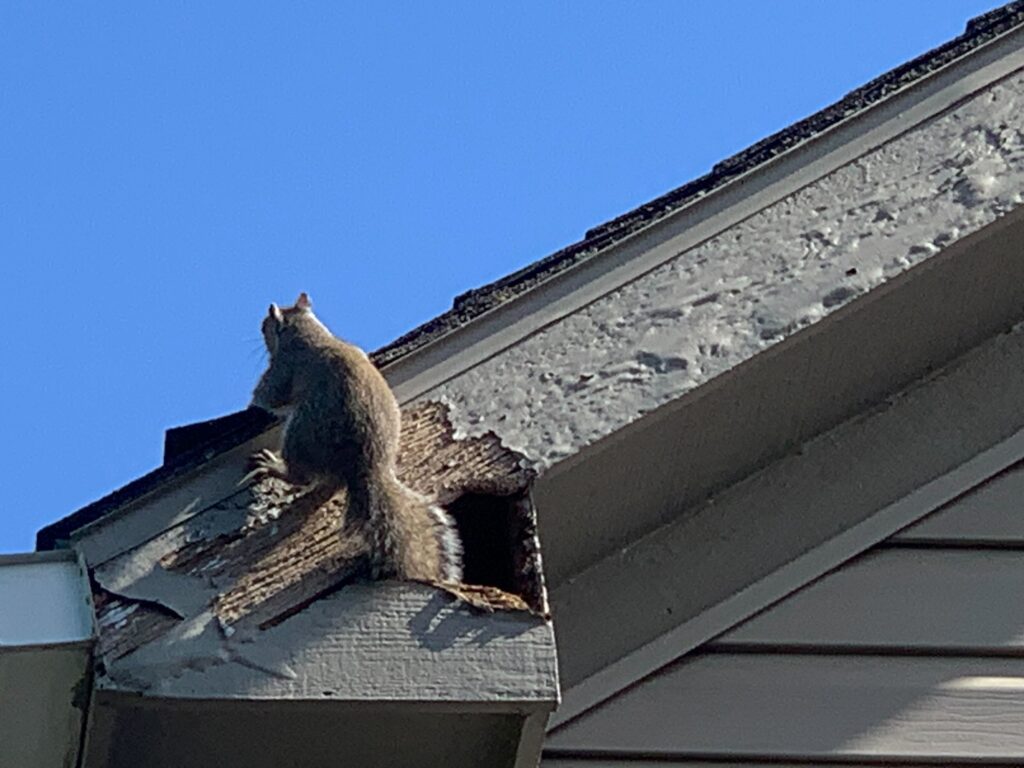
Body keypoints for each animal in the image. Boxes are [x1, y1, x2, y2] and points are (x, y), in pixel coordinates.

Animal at [245, 292, 463, 584]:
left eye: (265, 325)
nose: (260, 327)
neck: (309, 332)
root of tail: (368, 464)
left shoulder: (283, 369)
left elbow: (268, 396)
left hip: (302, 434)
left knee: (303, 474)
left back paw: (275, 466)